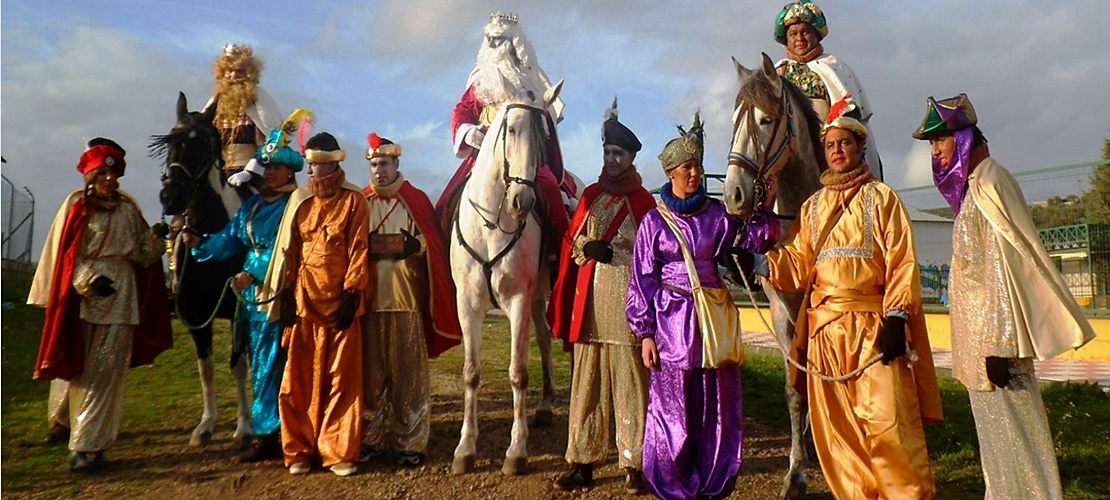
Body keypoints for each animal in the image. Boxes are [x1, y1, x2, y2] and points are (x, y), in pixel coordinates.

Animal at [149, 91, 254, 446]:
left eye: (204, 144)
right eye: (171, 141)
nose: (171, 197)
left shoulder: (239, 311)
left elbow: (237, 365)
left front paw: (244, 427)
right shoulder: (195, 314)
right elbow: (206, 368)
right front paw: (206, 424)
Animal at [448, 78, 563, 475]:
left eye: (544, 134)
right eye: (509, 129)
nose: (522, 202)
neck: (491, 224)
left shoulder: (518, 301)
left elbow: (518, 372)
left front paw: (517, 449)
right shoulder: (467, 304)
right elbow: (470, 371)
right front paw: (465, 447)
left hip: (538, 294)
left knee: (543, 341)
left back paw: (544, 407)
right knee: (544, 337)